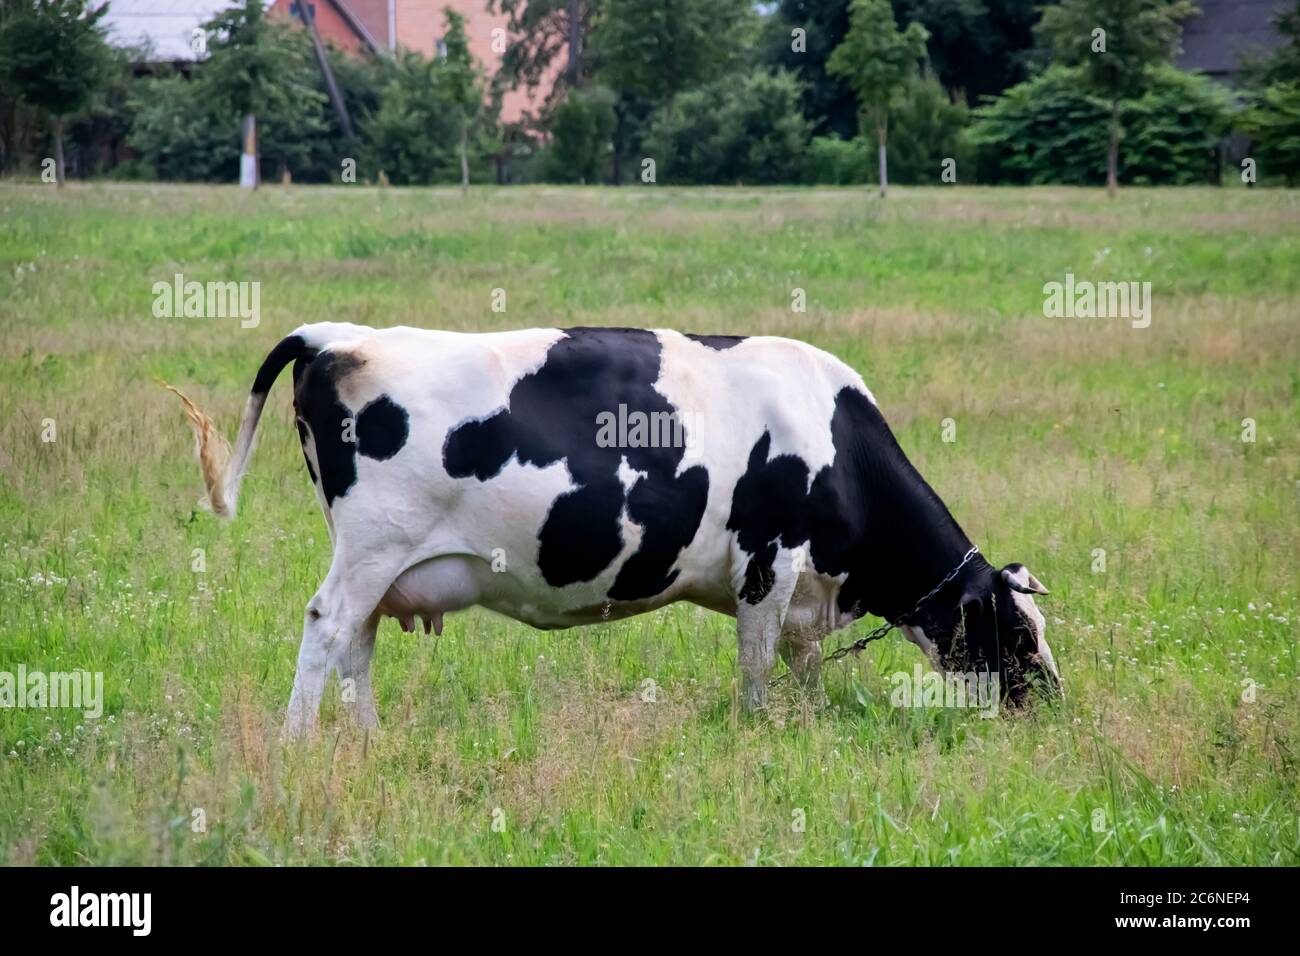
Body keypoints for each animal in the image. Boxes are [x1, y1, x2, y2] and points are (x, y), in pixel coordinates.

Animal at [169, 323, 1059, 737]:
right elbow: (758, 663)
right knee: (326, 628)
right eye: (1018, 631)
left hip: (383, 564)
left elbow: (800, 665)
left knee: (356, 642)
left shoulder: (803, 588)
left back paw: (369, 738)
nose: (1053, 703)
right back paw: (298, 741)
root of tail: (342, 336)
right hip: (371, 545)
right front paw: (760, 727)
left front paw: (807, 723)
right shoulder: (767, 560)